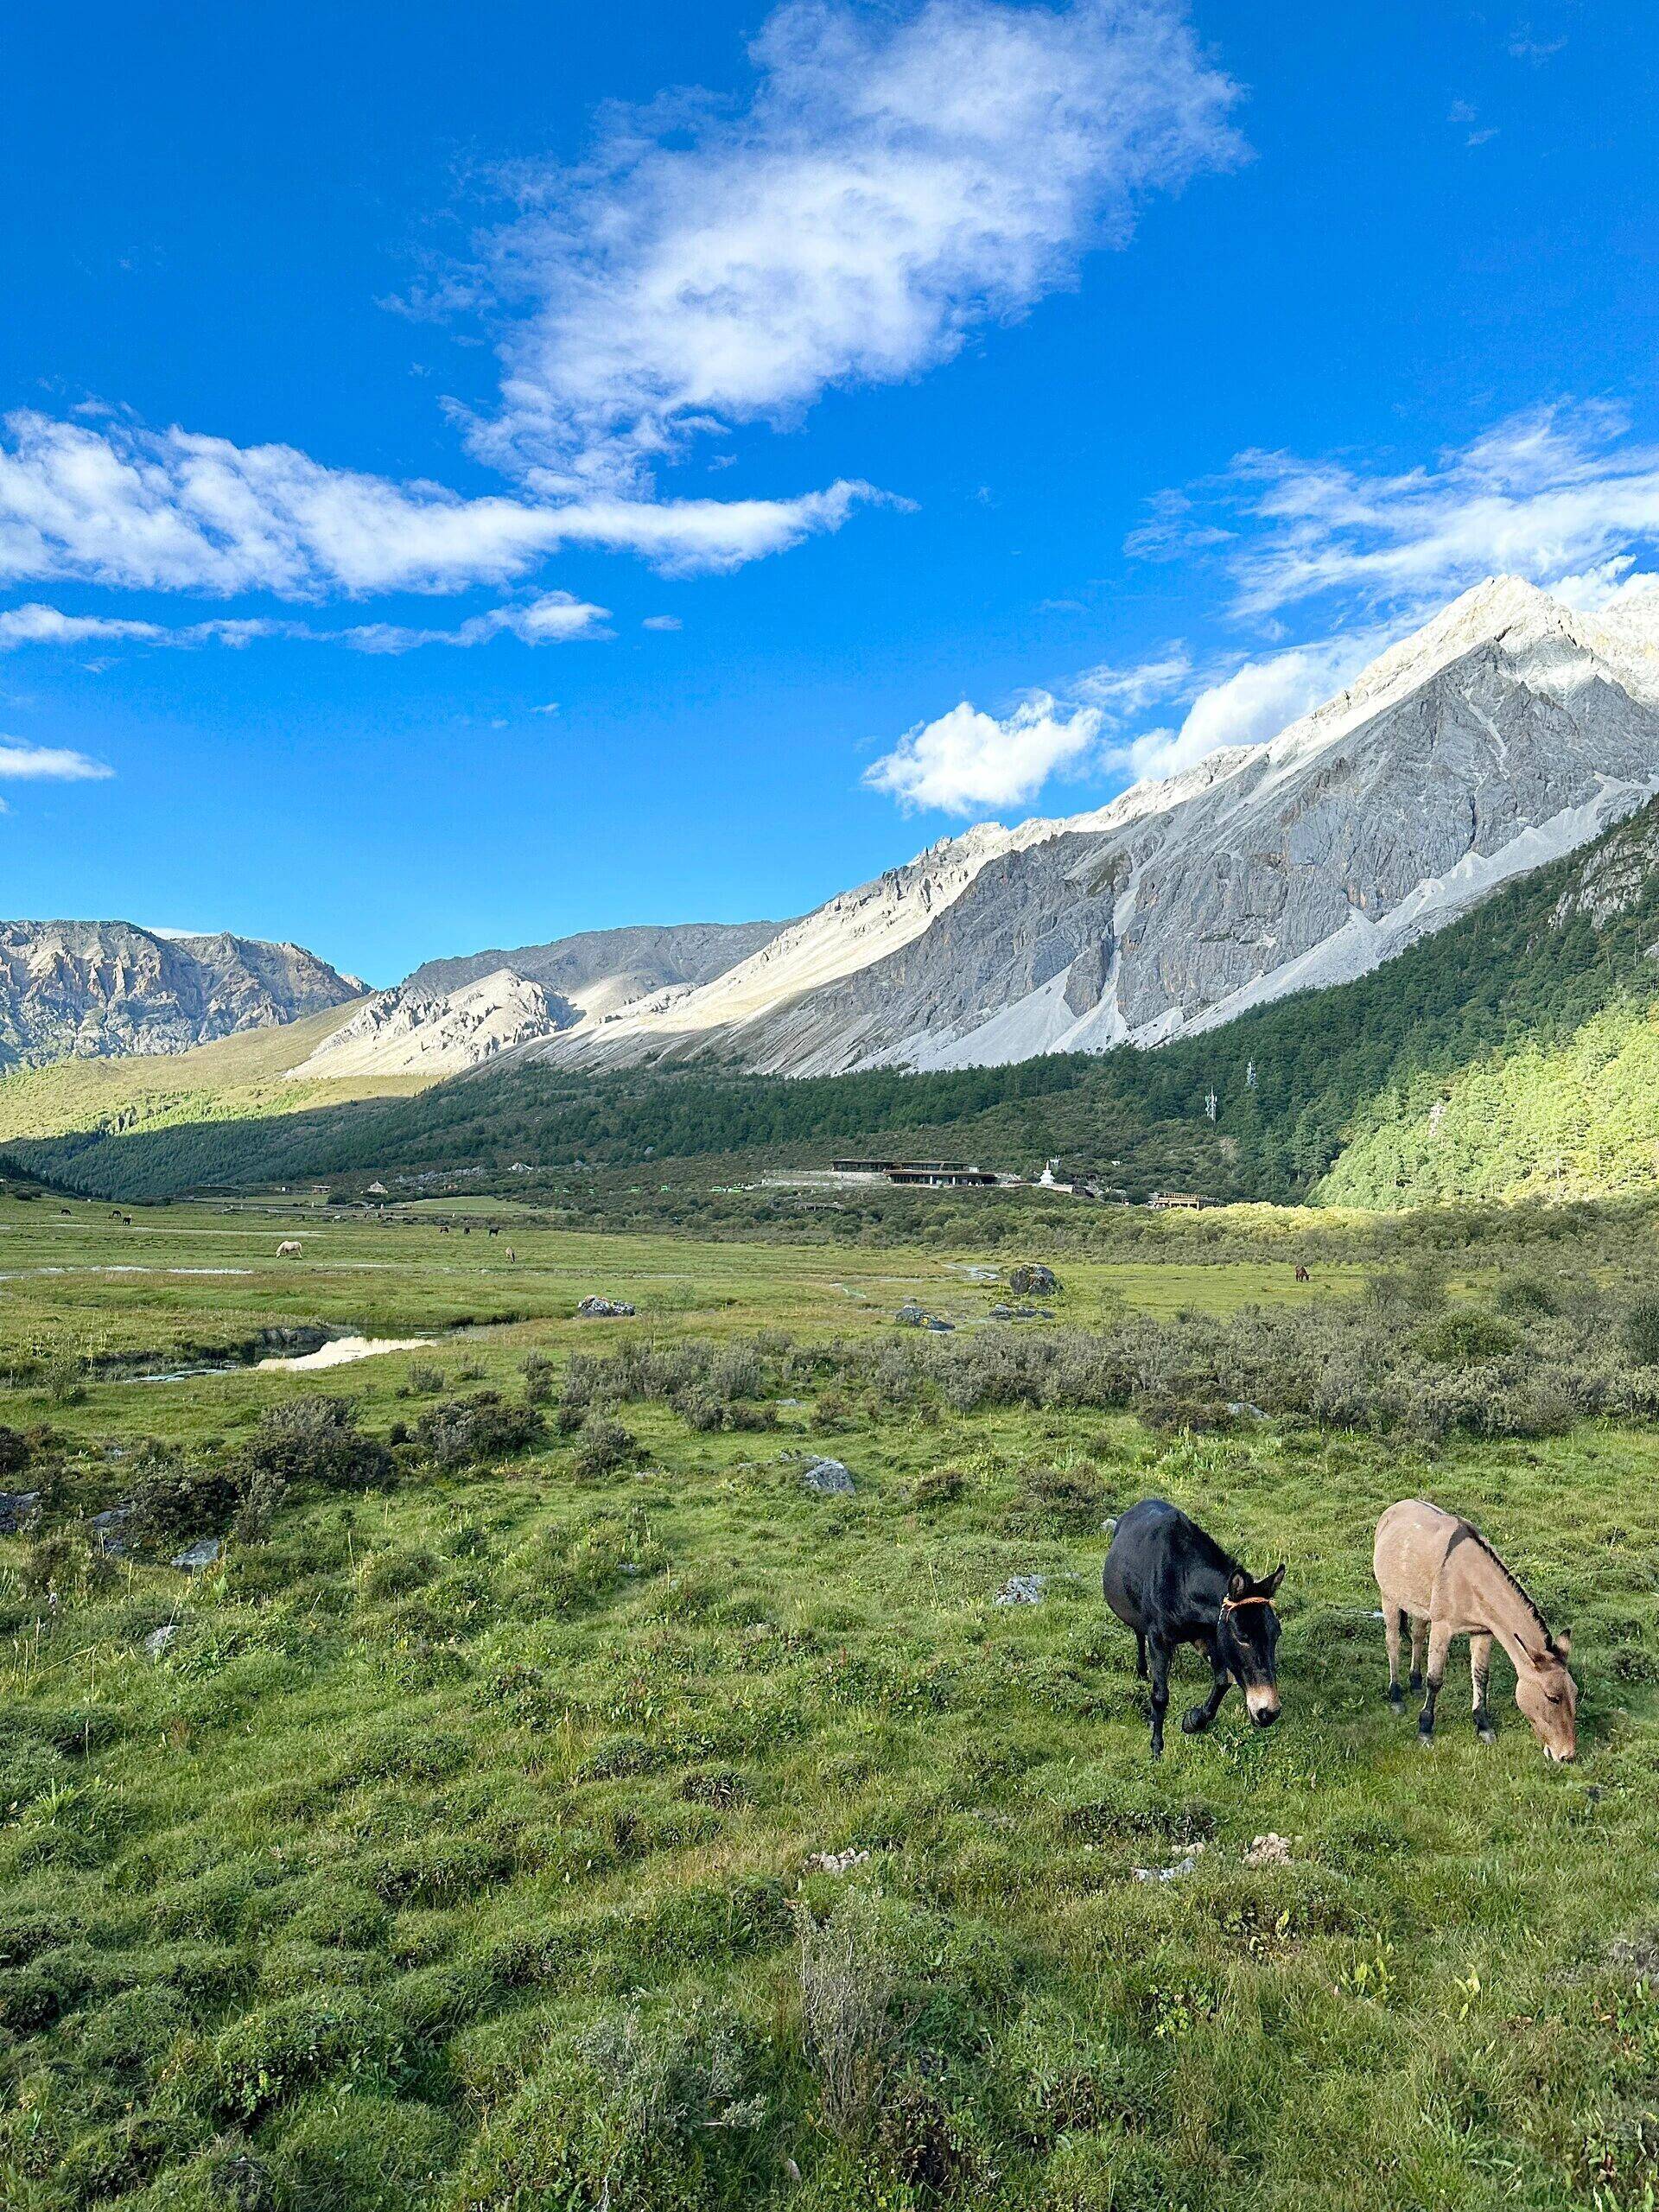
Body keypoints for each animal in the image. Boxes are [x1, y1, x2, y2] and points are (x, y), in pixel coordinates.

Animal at [1110, 1503, 1292, 1760]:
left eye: (1276, 1634)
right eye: (1242, 1637)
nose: (1269, 1713)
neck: (1181, 1580)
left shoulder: (1211, 1636)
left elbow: (1223, 1682)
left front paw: (1193, 1721)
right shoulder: (1159, 1639)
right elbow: (1160, 1695)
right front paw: (1156, 1747)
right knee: (1138, 1634)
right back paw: (1142, 1671)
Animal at [1380, 1503, 1583, 1760]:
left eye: (1575, 1694)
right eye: (1552, 1698)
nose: (1567, 1755)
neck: (1468, 1576)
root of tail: (1396, 1507)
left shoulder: (1483, 1631)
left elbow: (1481, 1677)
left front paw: (1483, 1725)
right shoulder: (1442, 1627)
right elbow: (1435, 1679)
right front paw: (1425, 1728)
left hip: (1419, 1605)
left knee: (1417, 1636)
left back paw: (1414, 1683)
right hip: (1389, 1597)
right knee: (1393, 1643)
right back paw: (1396, 1696)